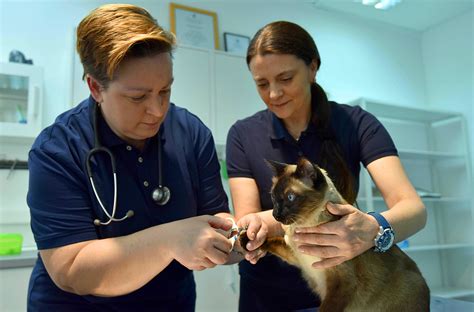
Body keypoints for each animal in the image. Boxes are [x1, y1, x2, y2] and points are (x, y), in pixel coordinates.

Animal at [241, 158, 430, 312]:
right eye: (273, 197)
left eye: (290, 197)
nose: (276, 215)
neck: (303, 225)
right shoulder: (297, 257)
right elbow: (272, 240)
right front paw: (248, 239)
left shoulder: (341, 283)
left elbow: (325, 309)